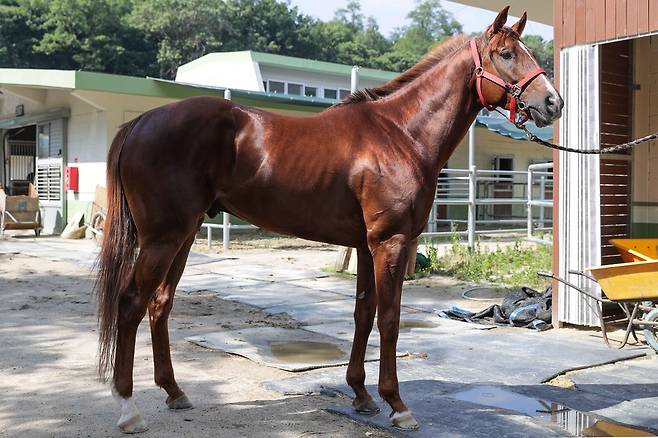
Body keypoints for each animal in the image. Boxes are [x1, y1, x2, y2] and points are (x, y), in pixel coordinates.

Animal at [96, 8, 560, 432]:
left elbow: (363, 313)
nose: (552, 103)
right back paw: (128, 408)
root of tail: (139, 122)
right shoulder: (389, 242)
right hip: (163, 237)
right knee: (131, 303)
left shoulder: (366, 246)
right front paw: (397, 404)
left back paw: (175, 392)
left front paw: (361, 395)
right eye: (506, 54)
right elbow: (389, 320)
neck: (400, 134)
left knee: (159, 304)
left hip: (185, 235)